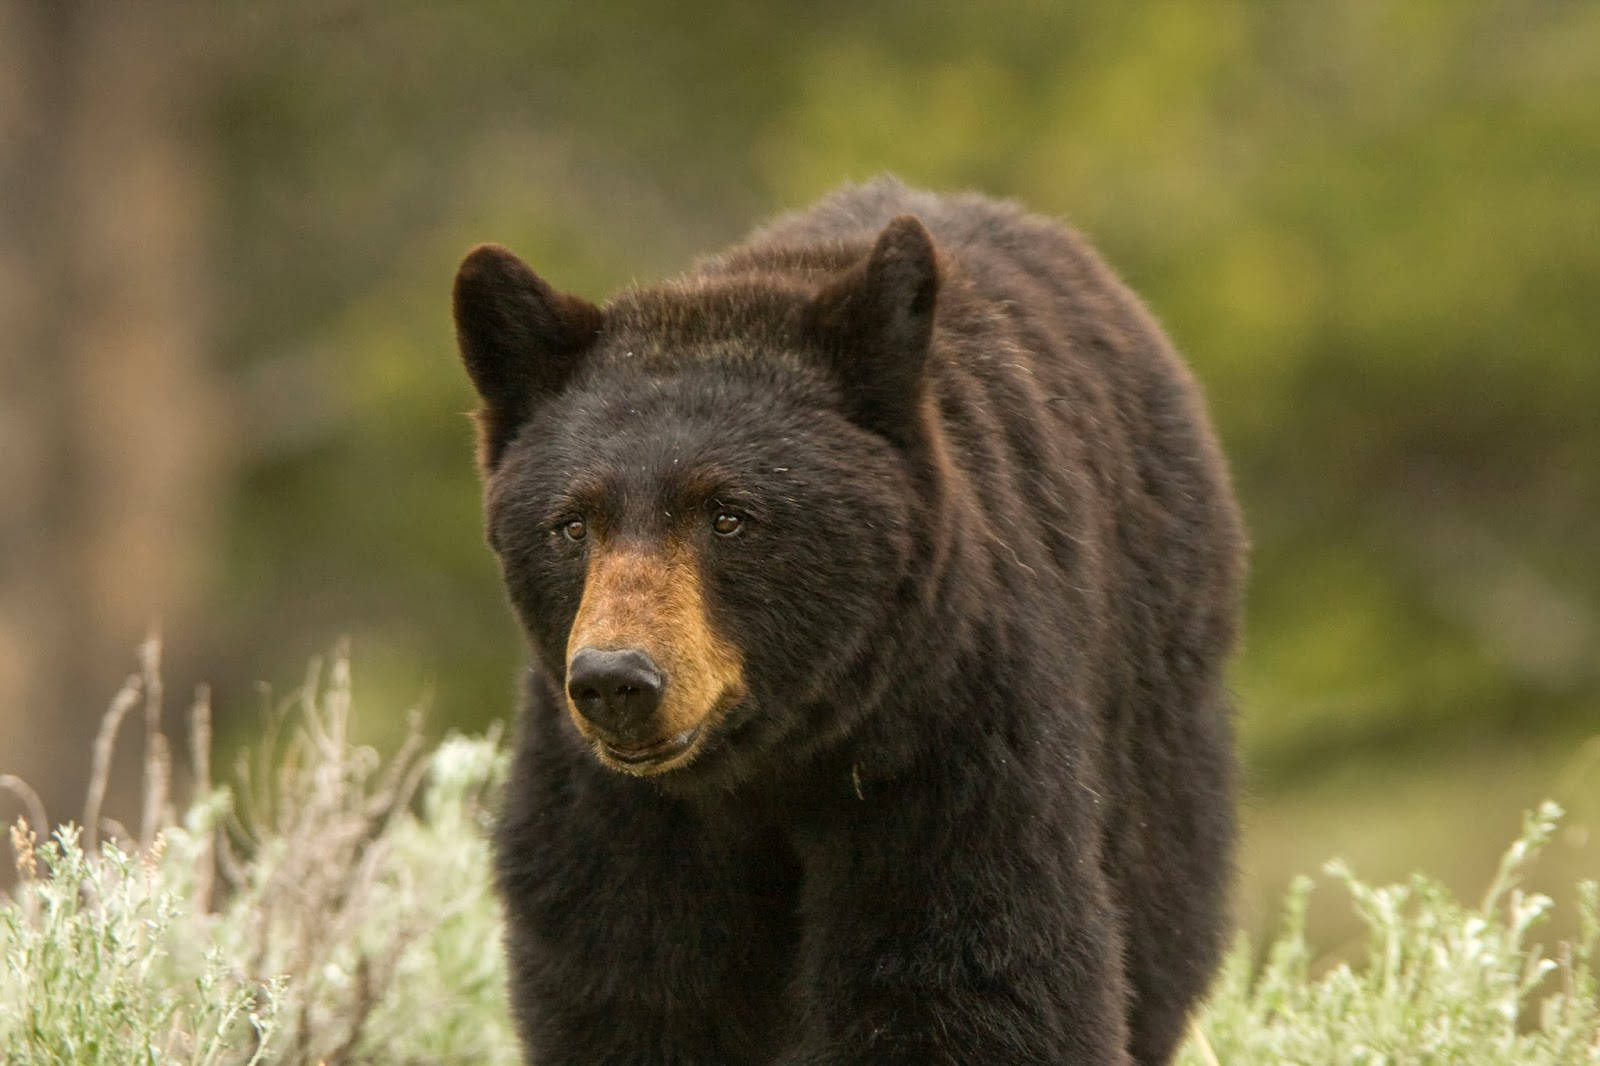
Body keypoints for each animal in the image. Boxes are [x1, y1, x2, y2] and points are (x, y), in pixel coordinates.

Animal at [454, 178, 1248, 1056]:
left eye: (728, 514)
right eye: (571, 524)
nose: (617, 681)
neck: (770, 764)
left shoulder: (948, 742)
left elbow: (967, 977)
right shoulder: (615, 813)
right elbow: (632, 982)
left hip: (1147, 698)